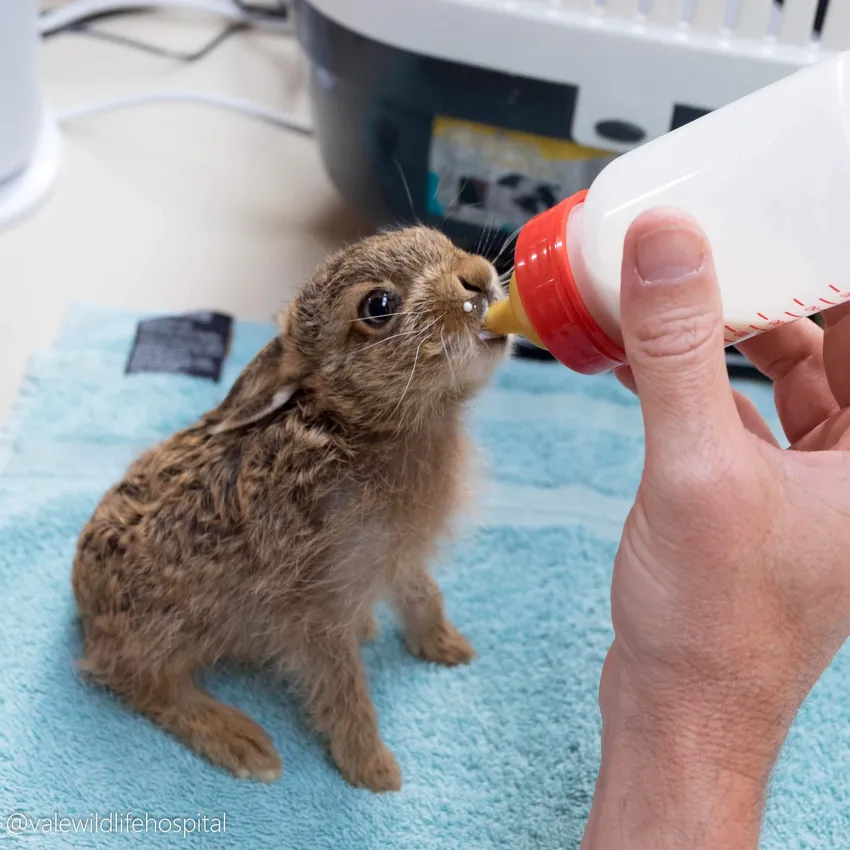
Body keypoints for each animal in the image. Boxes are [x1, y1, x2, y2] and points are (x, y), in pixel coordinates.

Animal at [72, 226, 509, 792]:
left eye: (438, 239)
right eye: (378, 306)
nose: (476, 276)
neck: (357, 427)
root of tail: (85, 606)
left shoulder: (398, 558)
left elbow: (424, 596)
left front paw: (449, 648)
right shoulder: (317, 606)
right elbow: (344, 686)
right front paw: (374, 770)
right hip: (165, 628)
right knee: (134, 679)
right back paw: (241, 742)